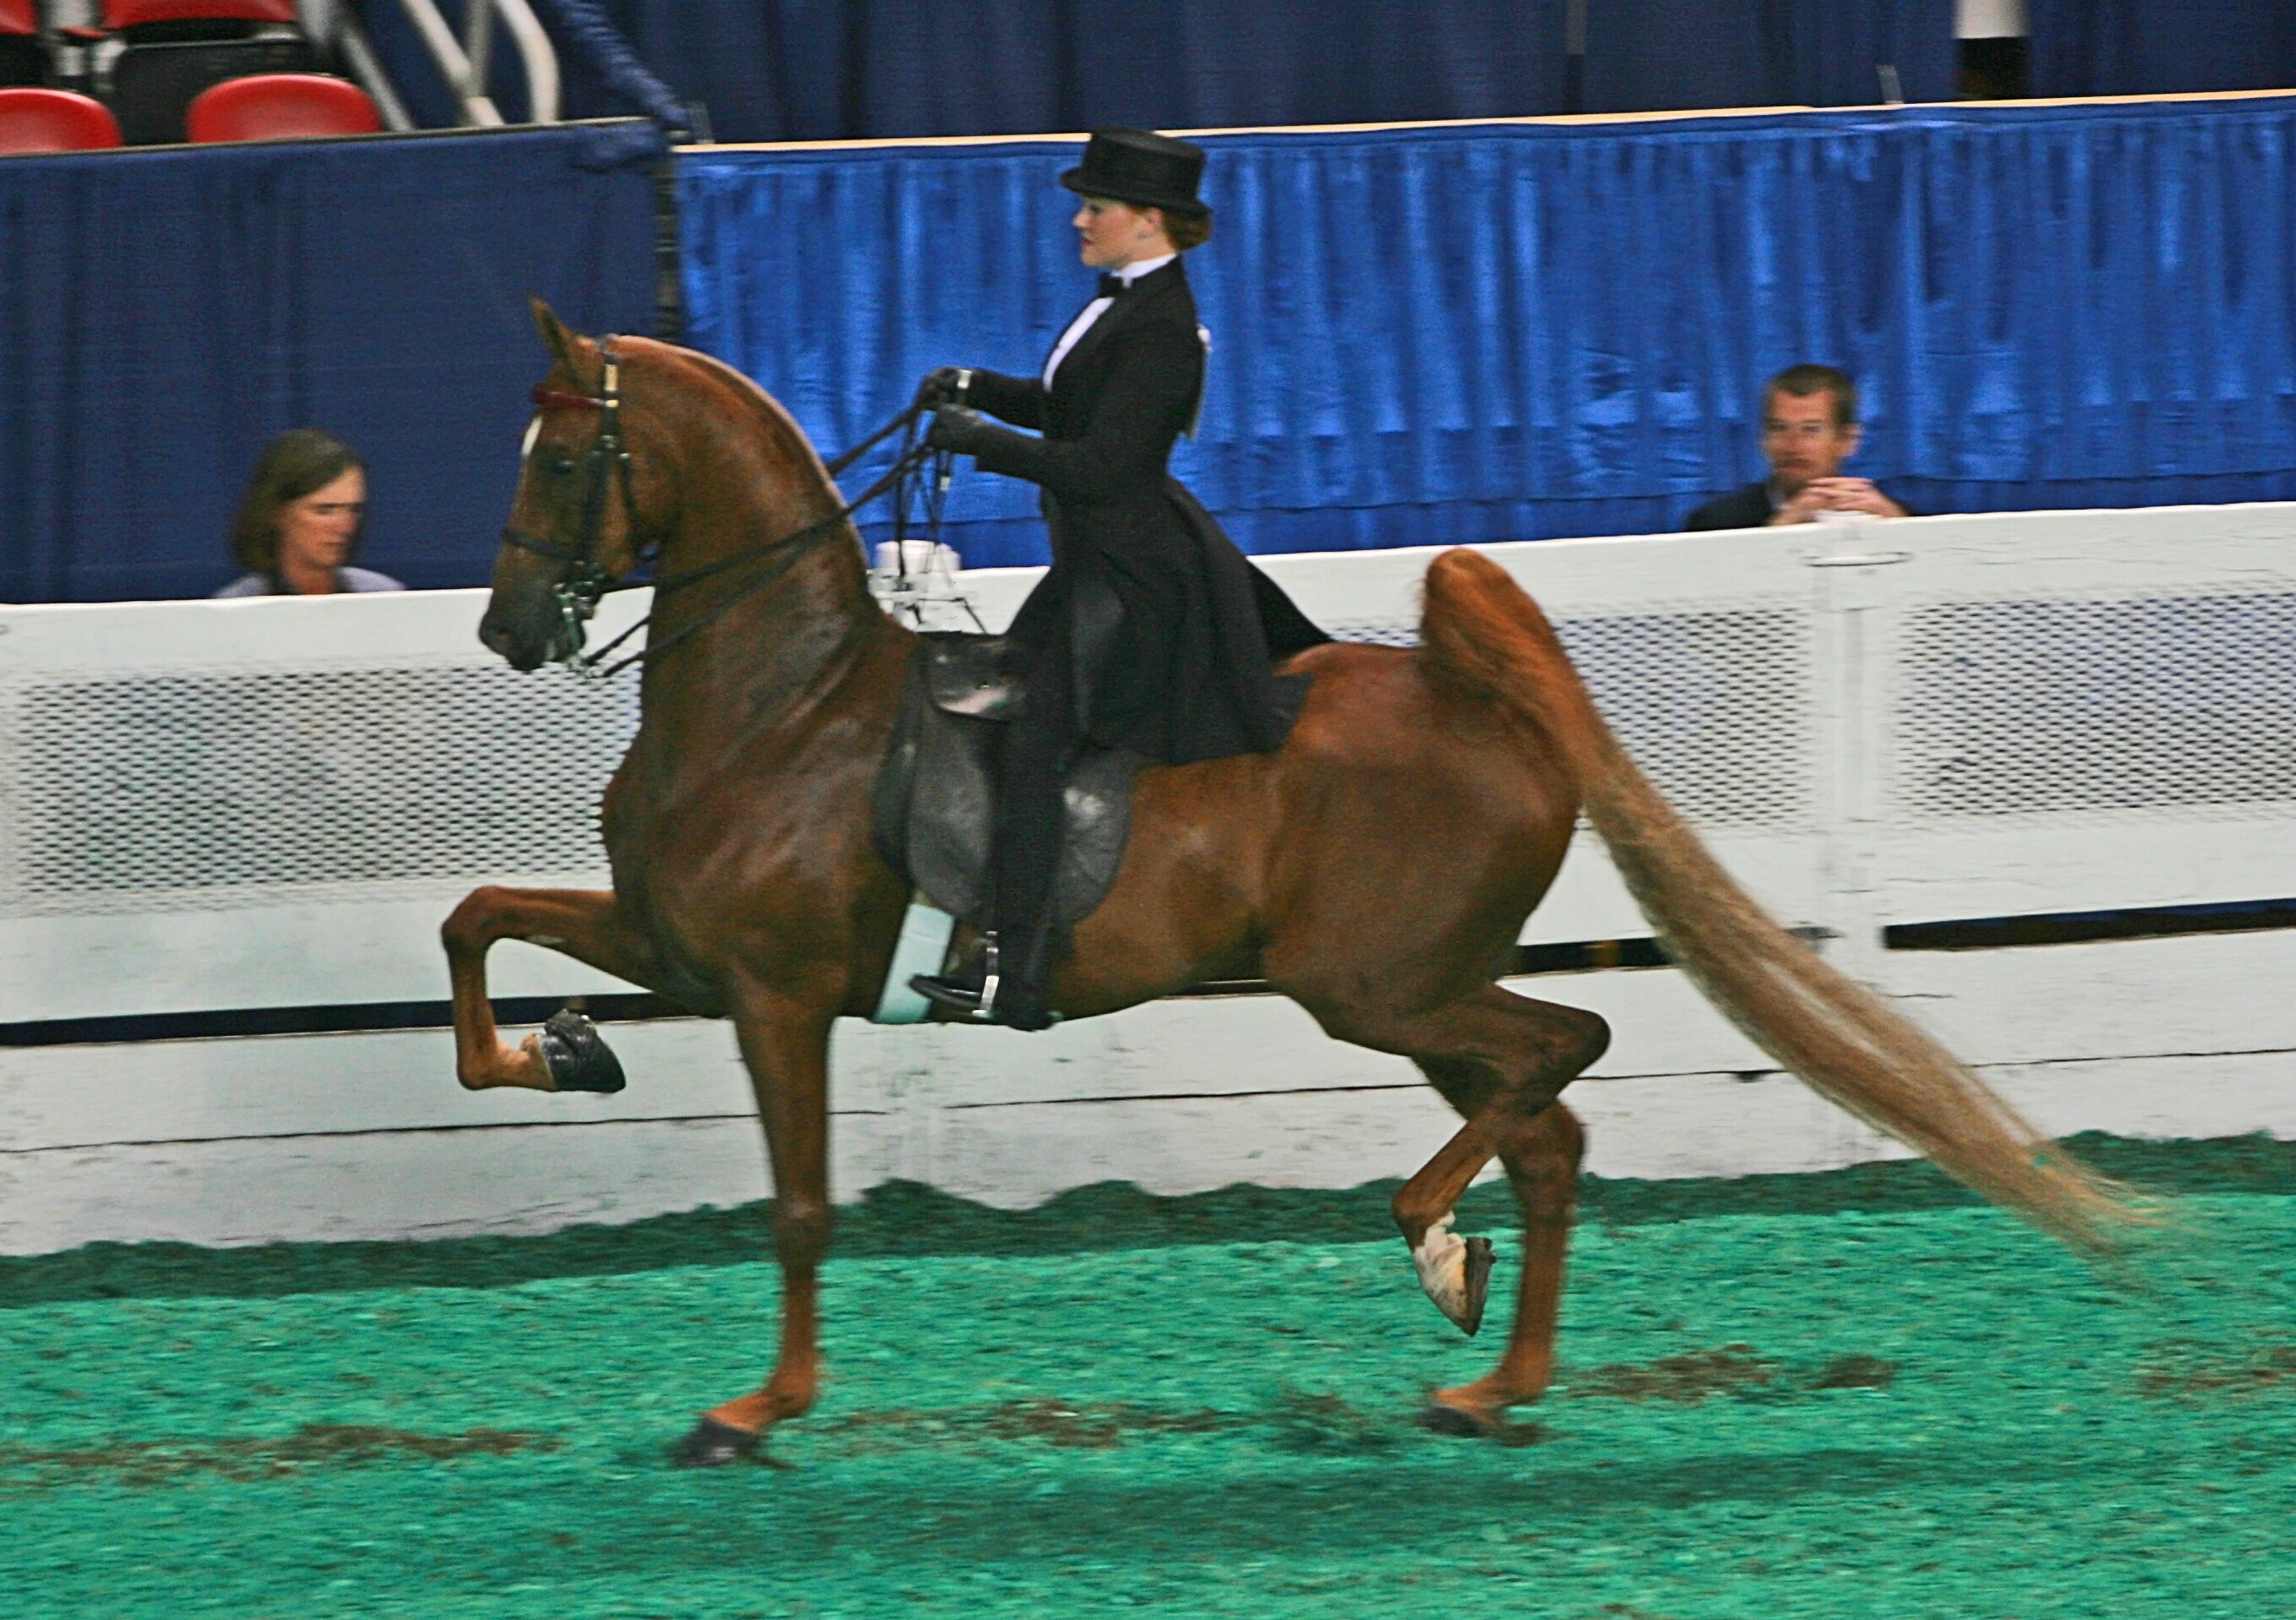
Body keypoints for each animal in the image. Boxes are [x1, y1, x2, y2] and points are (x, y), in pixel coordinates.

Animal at [452, 305, 2149, 1468]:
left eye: (566, 453)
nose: (507, 631)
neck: (782, 706)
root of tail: (1477, 698)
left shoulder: (775, 993)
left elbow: (800, 1209)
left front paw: (753, 1411)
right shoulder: (676, 948)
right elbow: (475, 929)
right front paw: (562, 1048)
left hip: (1375, 987)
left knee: (1560, 1055)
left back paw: (1436, 1251)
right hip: (1405, 994)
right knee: (1548, 1124)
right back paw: (1487, 1377)